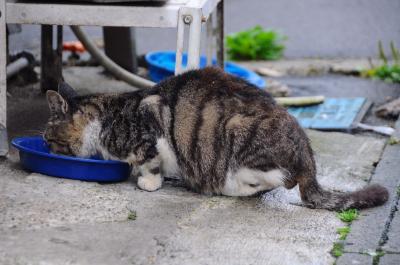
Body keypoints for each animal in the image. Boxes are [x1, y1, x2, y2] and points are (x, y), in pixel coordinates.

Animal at [44, 67, 388, 209]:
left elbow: (149, 160)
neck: (104, 116)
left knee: (274, 181)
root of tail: (308, 160)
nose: (46, 146)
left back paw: (216, 186)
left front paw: (148, 182)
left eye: (48, 138)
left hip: (236, 135)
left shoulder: (151, 122)